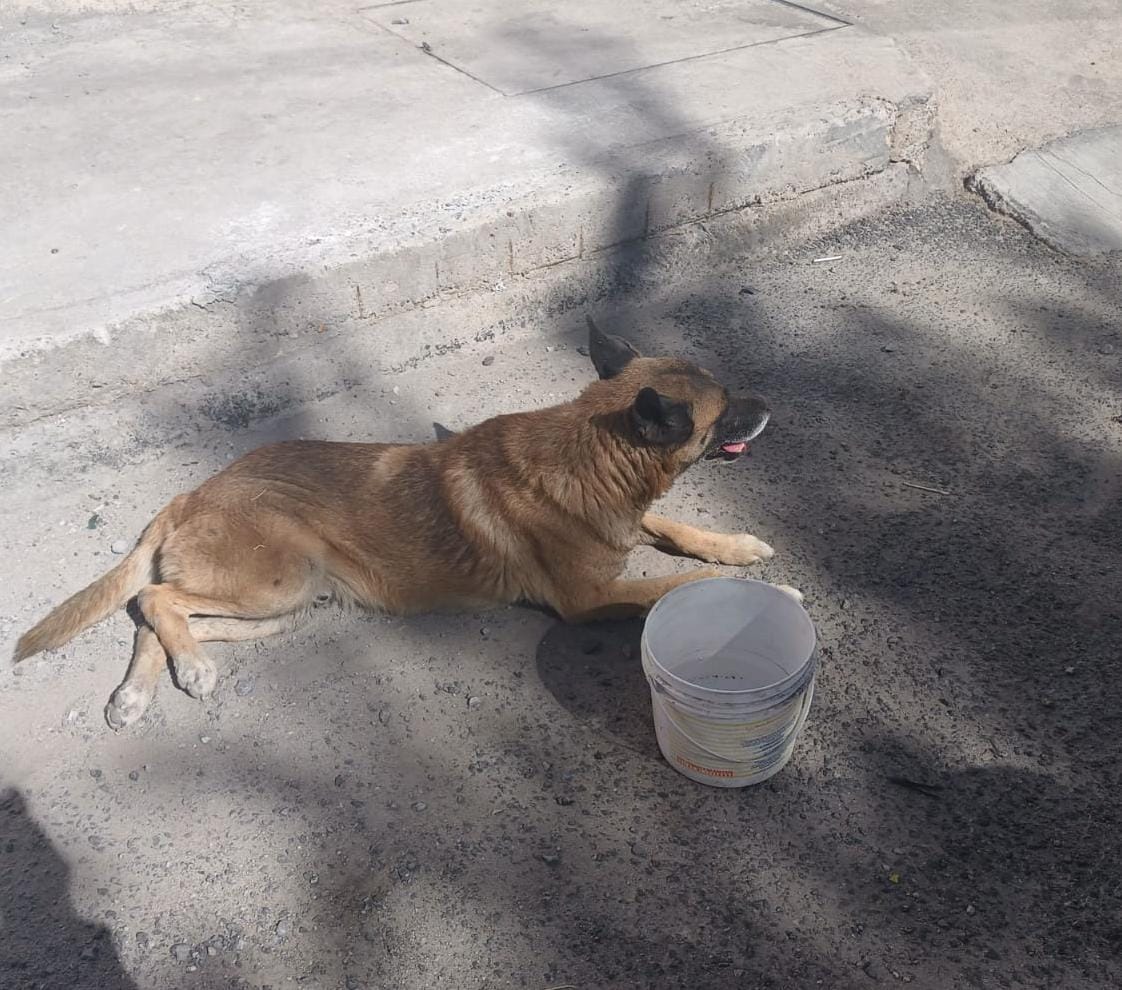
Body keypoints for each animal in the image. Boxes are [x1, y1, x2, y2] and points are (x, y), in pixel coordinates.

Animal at [13, 316, 794, 727]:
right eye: (725, 409)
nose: (770, 406)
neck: (591, 450)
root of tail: (190, 494)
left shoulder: (631, 528)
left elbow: (679, 531)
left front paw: (738, 545)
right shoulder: (589, 599)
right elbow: (665, 587)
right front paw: (772, 594)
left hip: (287, 606)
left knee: (164, 615)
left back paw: (140, 688)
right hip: (277, 581)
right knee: (154, 597)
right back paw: (188, 668)